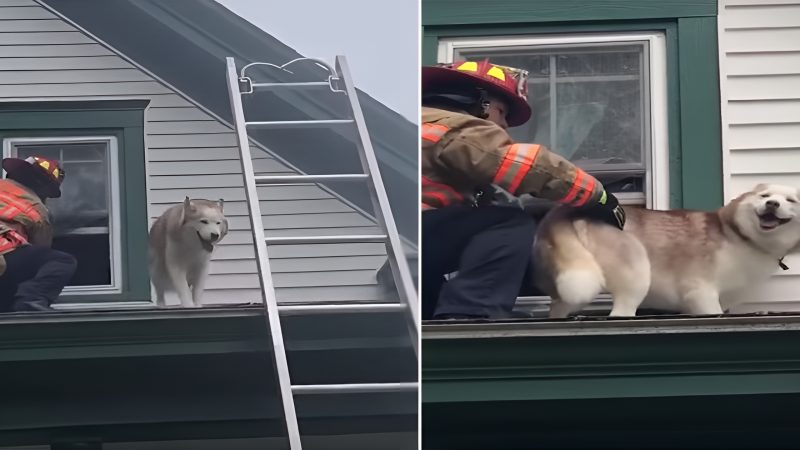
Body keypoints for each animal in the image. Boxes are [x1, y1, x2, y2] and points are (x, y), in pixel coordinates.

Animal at [536, 183, 800, 316]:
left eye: (791, 201)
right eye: (765, 196)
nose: (772, 204)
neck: (740, 237)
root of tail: (566, 210)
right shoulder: (700, 292)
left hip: (572, 287)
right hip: (637, 273)